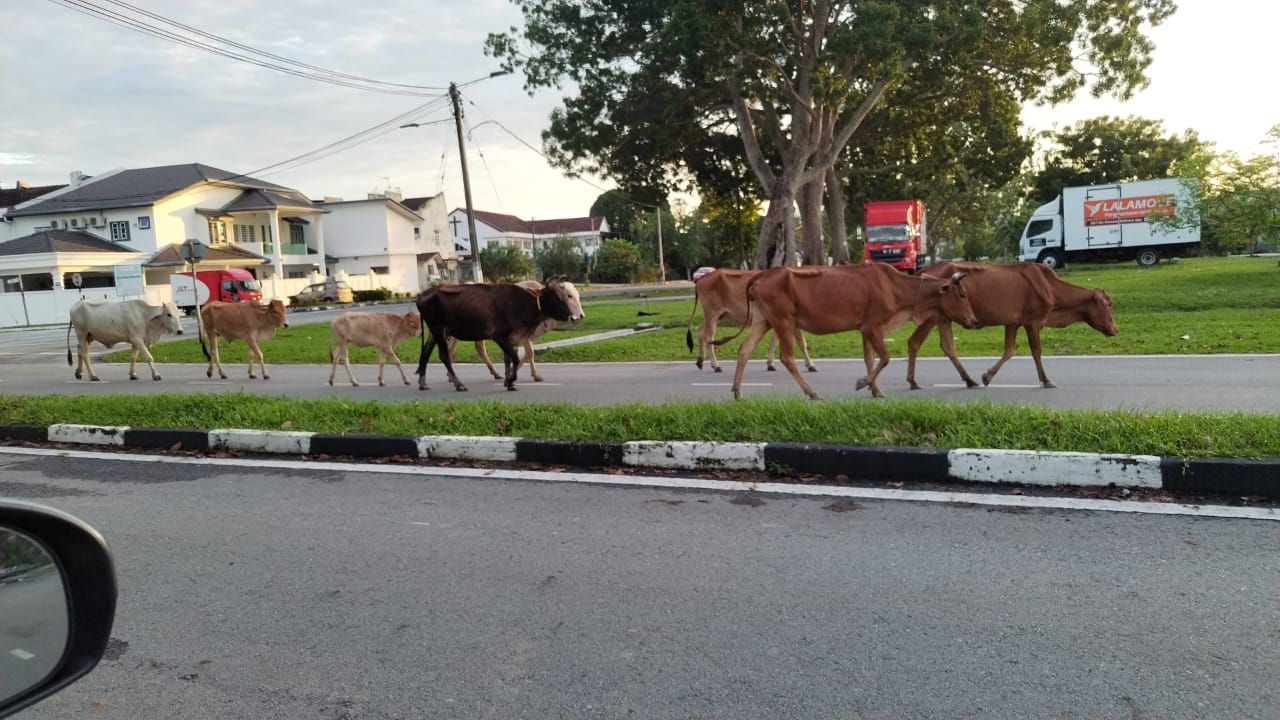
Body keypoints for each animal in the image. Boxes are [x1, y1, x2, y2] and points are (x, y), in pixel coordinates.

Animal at [414, 281, 576, 392]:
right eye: (554, 297)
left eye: (564, 297)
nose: (571, 317)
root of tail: (423, 294)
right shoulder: (499, 336)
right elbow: (515, 359)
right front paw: (511, 380)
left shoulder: (511, 338)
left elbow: (508, 360)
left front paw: (509, 382)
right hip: (439, 329)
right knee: (444, 356)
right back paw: (459, 384)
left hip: (435, 332)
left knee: (425, 353)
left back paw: (423, 383)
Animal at [686, 266, 814, 371]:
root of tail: (701, 279)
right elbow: (802, 342)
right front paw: (810, 365)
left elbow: (774, 342)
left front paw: (770, 364)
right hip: (712, 315)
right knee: (709, 338)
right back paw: (716, 365)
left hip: (717, 316)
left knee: (700, 332)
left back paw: (700, 361)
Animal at [727, 262, 972, 397]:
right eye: (961, 294)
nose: (972, 320)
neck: (896, 288)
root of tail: (762, 274)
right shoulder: (873, 327)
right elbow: (885, 358)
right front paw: (864, 383)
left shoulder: (865, 329)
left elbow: (870, 359)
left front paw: (875, 390)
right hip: (783, 321)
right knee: (787, 357)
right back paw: (812, 392)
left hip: (764, 321)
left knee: (744, 350)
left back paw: (737, 391)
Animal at [901, 260, 1121, 389]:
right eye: (1108, 304)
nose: (1115, 330)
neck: (1052, 290)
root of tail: (924, 270)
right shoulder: (1033, 321)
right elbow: (1036, 351)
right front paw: (1046, 380)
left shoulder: (1012, 322)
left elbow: (1009, 351)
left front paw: (987, 376)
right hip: (932, 316)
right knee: (914, 342)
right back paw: (912, 381)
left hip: (944, 318)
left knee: (948, 347)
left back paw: (969, 380)